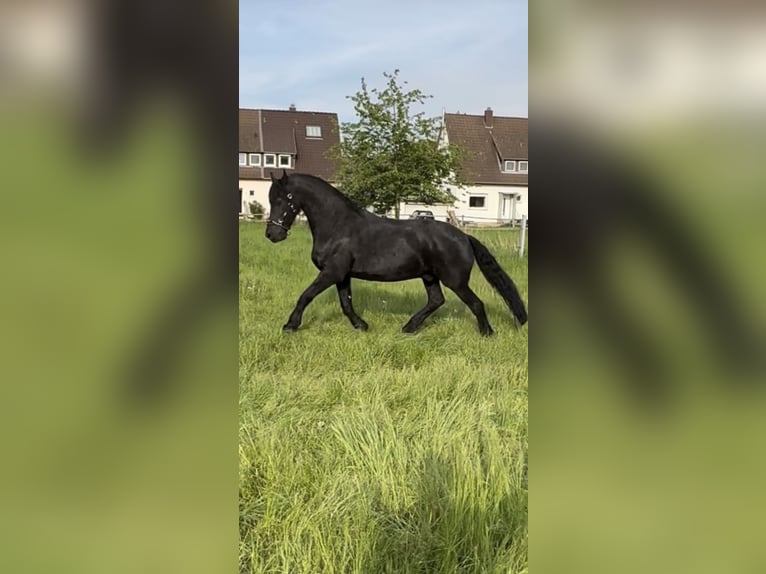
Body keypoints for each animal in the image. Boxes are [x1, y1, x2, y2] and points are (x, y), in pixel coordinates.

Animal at [264, 170, 527, 336]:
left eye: (285, 198)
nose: (272, 235)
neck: (339, 226)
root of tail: (464, 237)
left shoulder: (332, 272)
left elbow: (306, 295)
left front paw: (290, 325)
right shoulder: (342, 275)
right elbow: (346, 303)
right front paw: (362, 326)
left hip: (455, 281)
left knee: (475, 303)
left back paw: (487, 333)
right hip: (430, 277)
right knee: (436, 300)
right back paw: (409, 327)